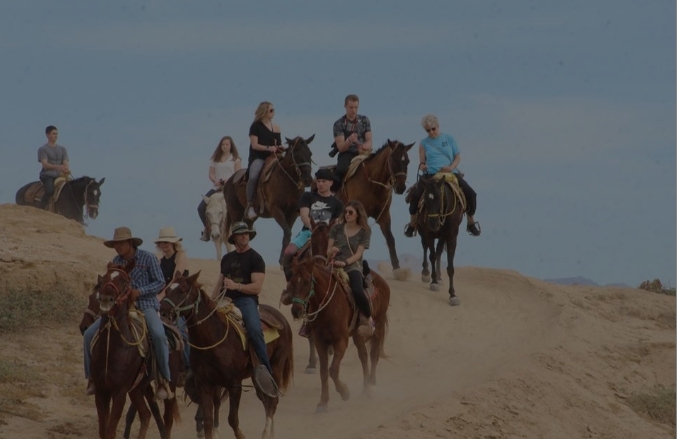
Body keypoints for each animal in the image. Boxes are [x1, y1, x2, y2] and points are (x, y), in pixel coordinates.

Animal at [163, 272, 294, 439]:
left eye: (181, 291)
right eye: (167, 290)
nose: (162, 310)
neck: (214, 338)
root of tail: (282, 319)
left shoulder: (234, 384)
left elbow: (232, 419)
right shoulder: (205, 384)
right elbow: (208, 419)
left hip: (276, 367)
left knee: (272, 400)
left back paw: (266, 432)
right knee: (264, 399)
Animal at [223, 135, 314, 265]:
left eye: (310, 153)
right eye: (296, 154)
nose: (308, 180)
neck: (286, 180)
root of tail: (228, 181)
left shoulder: (292, 213)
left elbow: (287, 233)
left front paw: (283, 260)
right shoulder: (276, 210)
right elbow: (287, 232)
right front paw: (283, 260)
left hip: (249, 218)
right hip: (234, 212)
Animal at [287, 252, 390, 412]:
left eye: (306, 282)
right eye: (291, 281)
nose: (296, 310)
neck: (329, 306)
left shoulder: (341, 341)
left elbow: (333, 370)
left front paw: (345, 392)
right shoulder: (320, 342)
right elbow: (324, 371)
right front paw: (323, 402)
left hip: (378, 324)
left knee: (374, 354)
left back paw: (371, 386)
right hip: (357, 334)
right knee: (363, 355)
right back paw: (365, 388)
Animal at [337, 140, 414, 280]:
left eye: (407, 161)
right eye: (393, 159)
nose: (401, 187)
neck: (373, 184)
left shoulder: (384, 216)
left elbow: (390, 238)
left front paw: (397, 269)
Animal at [415, 175, 464, 306]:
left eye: (439, 198)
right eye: (425, 199)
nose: (433, 223)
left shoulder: (451, 237)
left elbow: (450, 267)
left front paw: (453, 295)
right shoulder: (429, 234)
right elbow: (432, 256)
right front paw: (434, 282)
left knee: (438, 250)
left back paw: (438, 276)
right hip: (422, 231)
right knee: (425, 246)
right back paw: (426, 273)